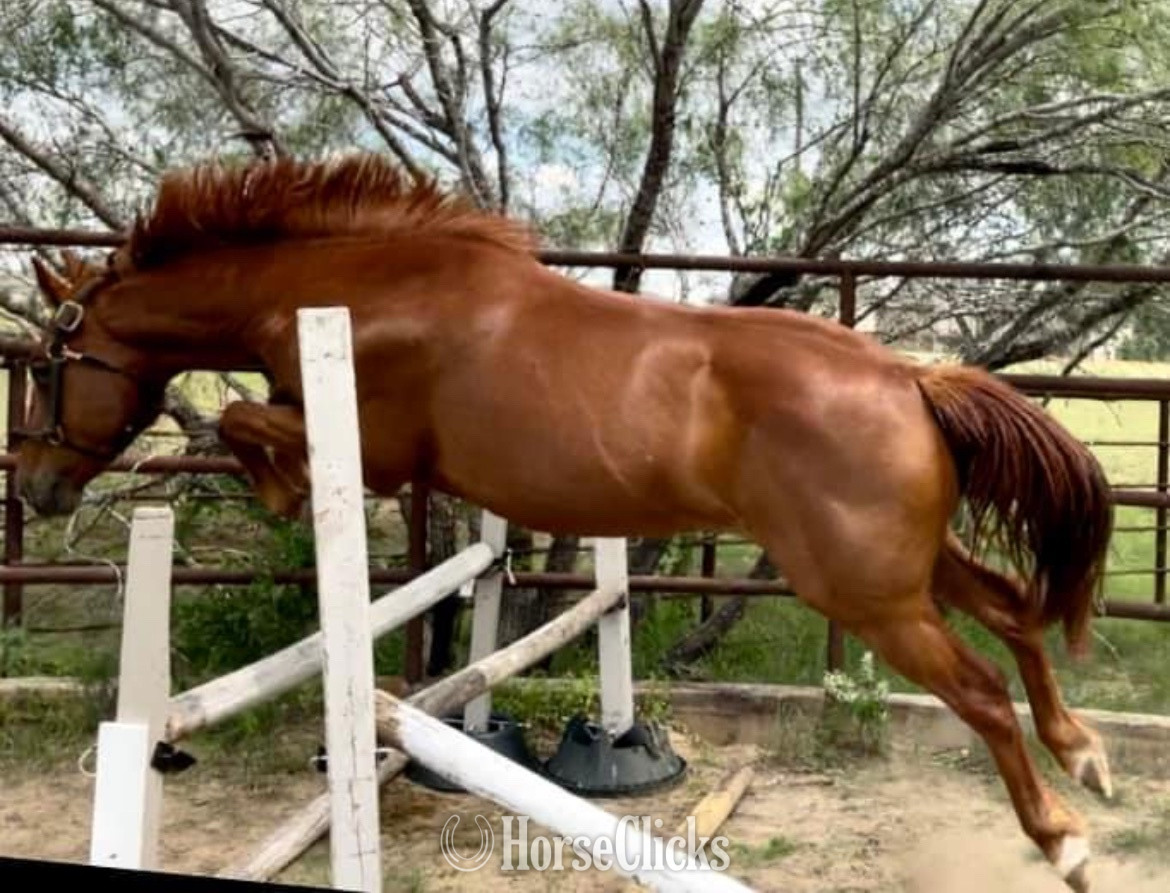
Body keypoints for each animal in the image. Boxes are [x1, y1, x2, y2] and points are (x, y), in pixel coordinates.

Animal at [13, 152, 1113, 891]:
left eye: (45, 367)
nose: (32, 487)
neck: (358, 289)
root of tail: (910, 378)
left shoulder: (379, 450)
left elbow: (244, 419)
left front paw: (282, 490)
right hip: (908, 565)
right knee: (1016, 612)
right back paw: (1084, 752)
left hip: (866, 588)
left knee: (981, 689)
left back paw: (1064, 834)